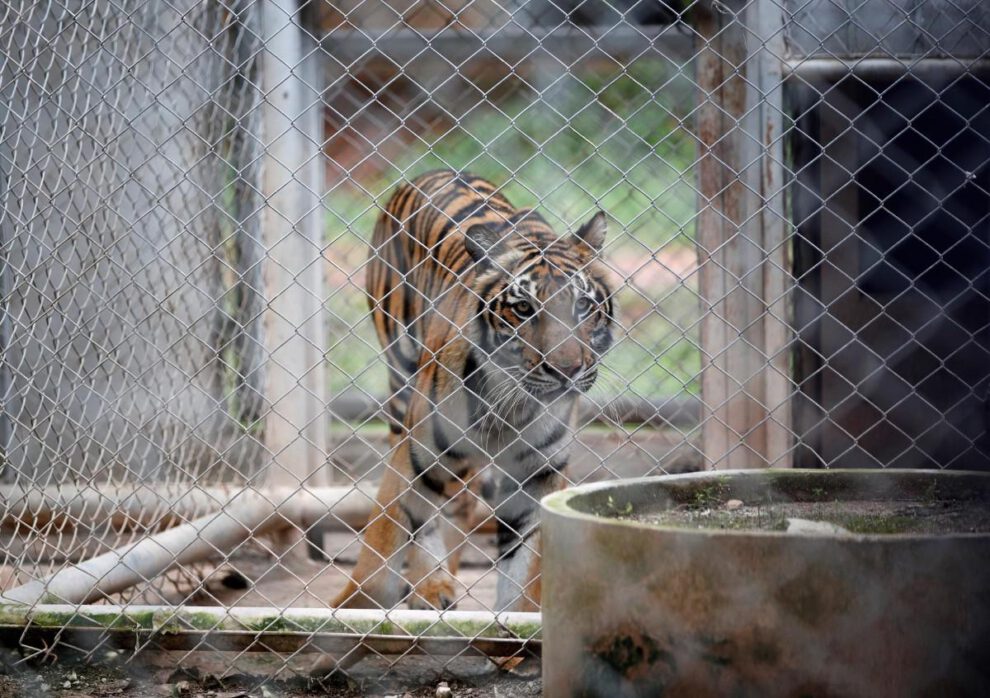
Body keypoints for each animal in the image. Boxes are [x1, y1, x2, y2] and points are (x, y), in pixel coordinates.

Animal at [331, 170, 615, 612]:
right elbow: (391, 530)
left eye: (582, 306)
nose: (566, 371)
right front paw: (357, 605)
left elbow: (526, 569)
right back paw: (430, 587)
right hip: (401, 384)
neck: (511, 404)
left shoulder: (539, 474)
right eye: (523, 308)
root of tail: (432, 172)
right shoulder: (417, 452)